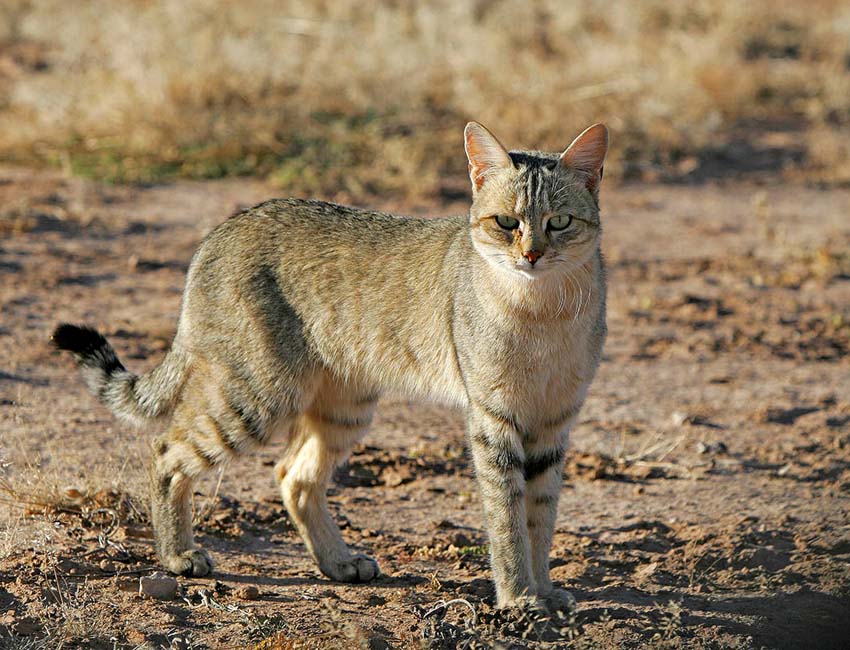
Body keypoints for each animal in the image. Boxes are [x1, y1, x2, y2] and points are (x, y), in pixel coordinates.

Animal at [51, 119, 604, 612]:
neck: (542, 311)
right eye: (506, 223)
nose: (532, 255)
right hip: (256, 396)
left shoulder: (554, 421)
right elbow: (507, 518)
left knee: (292, 476)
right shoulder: (493, 417)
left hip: (344, 405)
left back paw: (337, 562)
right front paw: (518, 598)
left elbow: (540, 516)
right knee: (166, 450)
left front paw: (543, 590)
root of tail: (223, 229)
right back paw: (177, 556)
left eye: (559, 222)